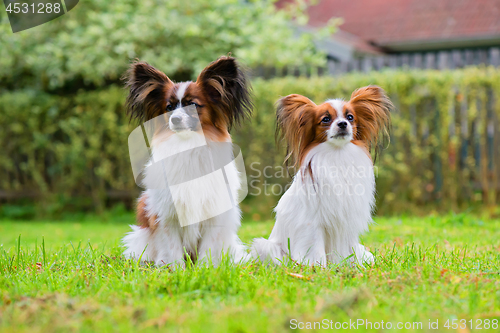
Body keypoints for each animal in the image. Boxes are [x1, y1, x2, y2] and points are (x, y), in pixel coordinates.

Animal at [123, 55, 252, 266]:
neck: (188, 145)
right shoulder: (167, 214)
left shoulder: (214, 213)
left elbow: (208, 247)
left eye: (194, 105)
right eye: (169, 107)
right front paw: (175, 269)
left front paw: (205, 268)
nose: (175, 119)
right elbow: (172, 246)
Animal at [252, 85, 392, 264]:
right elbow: (315, 249)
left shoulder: (347, 221)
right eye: (325, 119)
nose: (343, 123)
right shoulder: (313, 222)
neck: (337, 154)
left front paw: (352, 265)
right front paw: (318, 267)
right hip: (266, 247)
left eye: (350, 117)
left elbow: (349, 248)